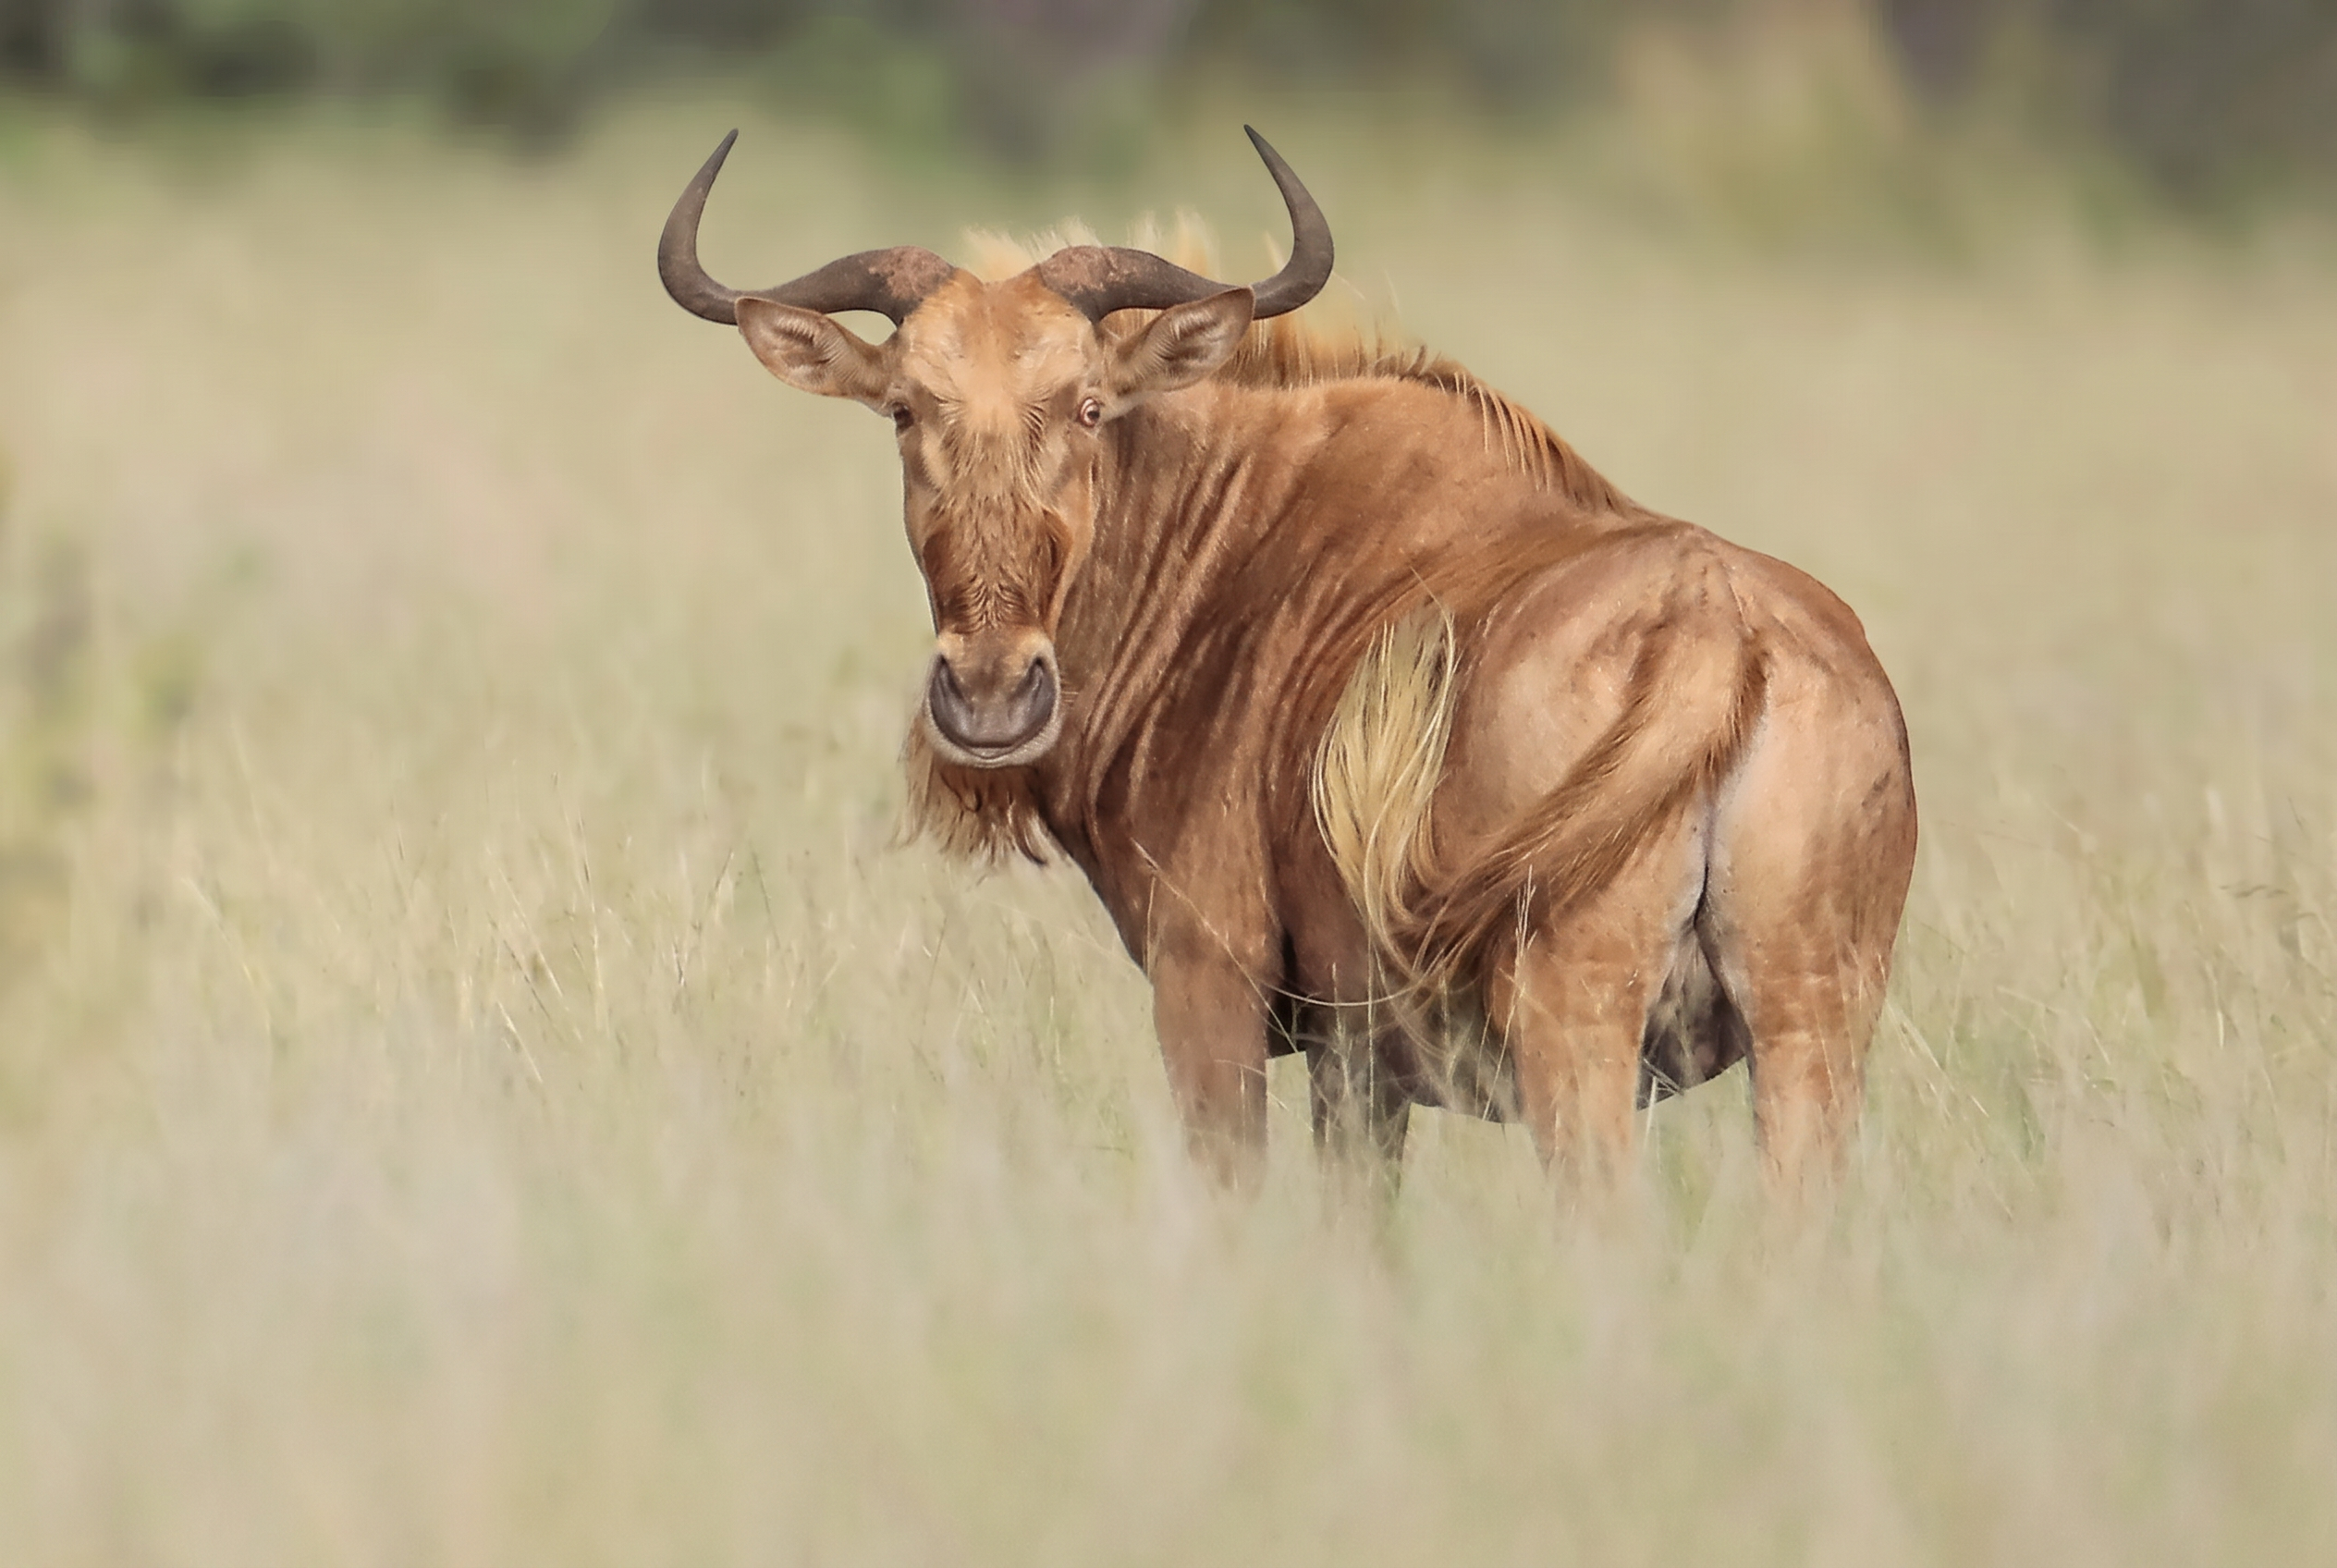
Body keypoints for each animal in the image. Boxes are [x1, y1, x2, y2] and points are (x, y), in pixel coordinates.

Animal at [659, 128, 1918, 1191]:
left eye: (1085, 404)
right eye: (903, 411)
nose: (988, 693)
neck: (1228, 530)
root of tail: (1719, 638)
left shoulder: (1208, 995)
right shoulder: (1355, 1066)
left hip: (1580, 1039)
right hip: (1809, 1040)